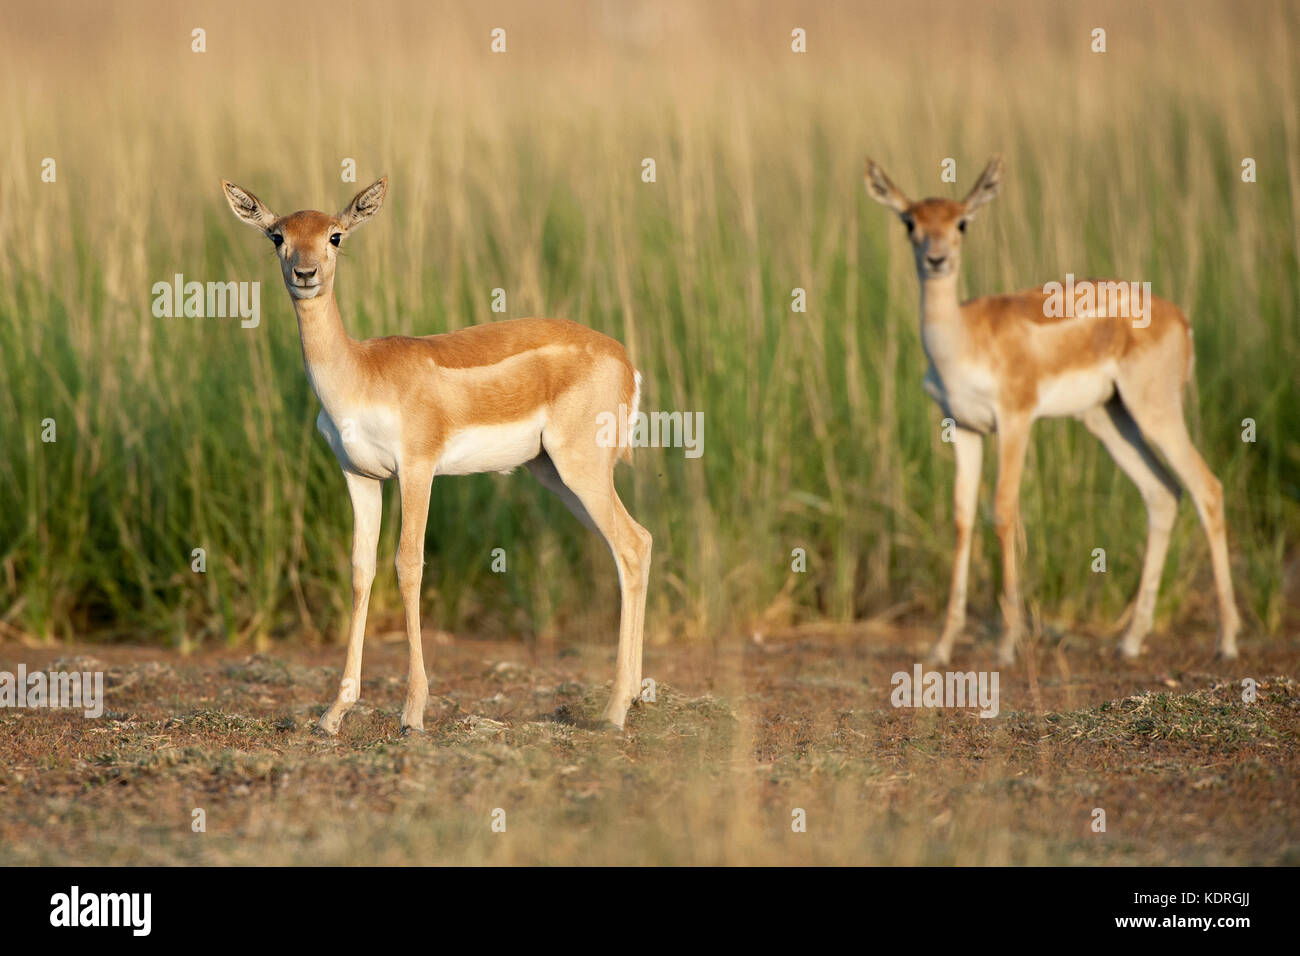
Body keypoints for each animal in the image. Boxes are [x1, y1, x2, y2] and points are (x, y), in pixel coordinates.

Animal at [223, 178, 655, 733]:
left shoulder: (417, 469)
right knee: (636, 544)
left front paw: (412, 712)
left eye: (335, 235)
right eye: (277, 236)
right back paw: (635, 697)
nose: (305, 274)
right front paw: (334, 712)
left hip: (582, 469)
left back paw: (615, 709)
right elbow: (361, 571)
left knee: (630, 545)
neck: (361, 371)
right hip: (557, 477)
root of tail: (624, 360)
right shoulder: (359, 476)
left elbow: (409, 566)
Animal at [863, 157, 1237, 665]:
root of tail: (1180, 318)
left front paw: (1005, 645)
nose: (936, 260)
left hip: (1155, 411)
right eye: (909, 222)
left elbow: (1003, 510)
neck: (962, 338)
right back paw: (1130, 640)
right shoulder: (963, 427)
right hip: (1108, 419)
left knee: (1207, 488)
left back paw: (1227, 641)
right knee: (1162, 493)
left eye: (962, 222)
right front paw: (941, 647)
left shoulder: (1015, 419)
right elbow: (962, 518)